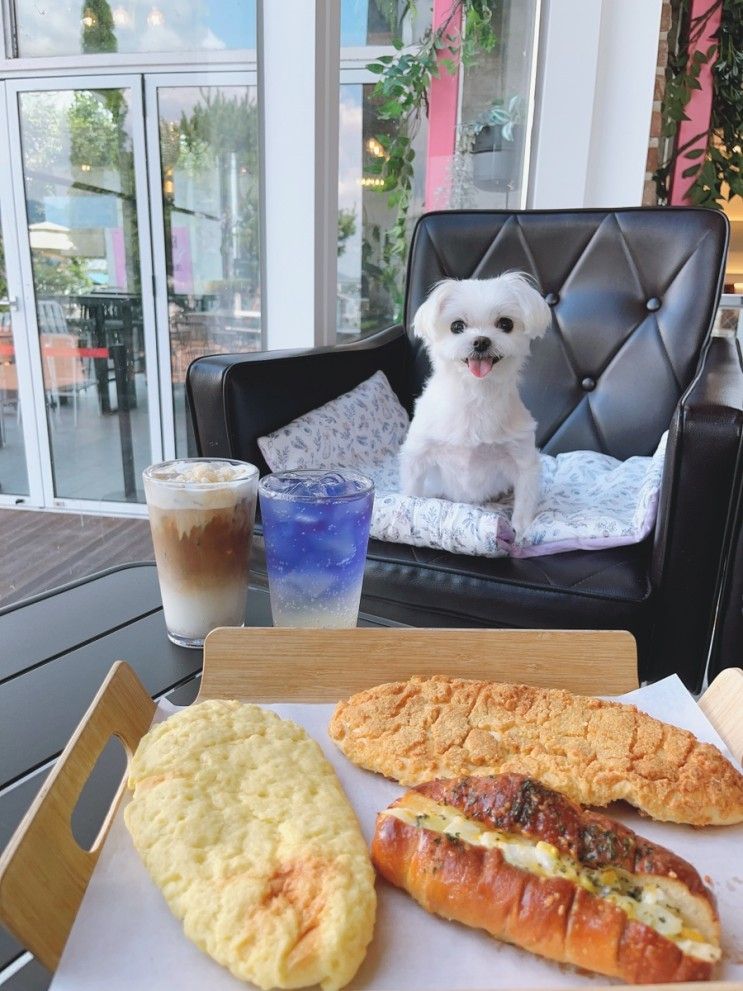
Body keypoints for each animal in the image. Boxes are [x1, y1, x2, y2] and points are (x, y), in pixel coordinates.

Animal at [402, 272, 552, 540]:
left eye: (506, 324)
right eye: (456, 326)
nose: (481, 341)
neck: (476, 395)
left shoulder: (523, 459)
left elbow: (525, 501)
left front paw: (520, 531)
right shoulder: (418, 454)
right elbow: (412, 491)